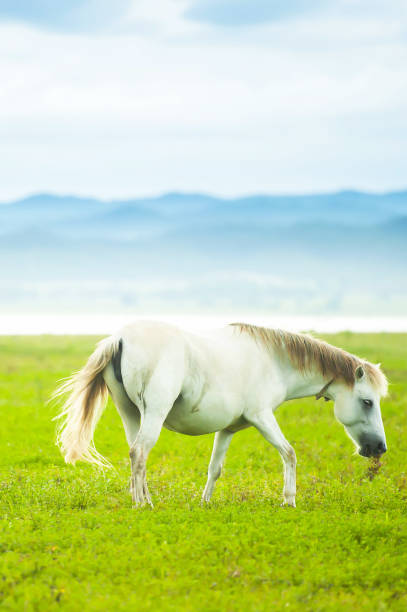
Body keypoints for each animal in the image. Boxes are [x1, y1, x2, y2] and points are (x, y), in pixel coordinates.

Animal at [54, 320, 388, 506]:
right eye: (367, 402)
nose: (379, 448)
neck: (273, 360)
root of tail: (120, 338)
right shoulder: (262, 418)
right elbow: (290, 454)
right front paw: (289, 500)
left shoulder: (228, 430)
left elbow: (215, 468)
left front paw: (205, 503)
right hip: (154, 414)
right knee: (139, 452)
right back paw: (143, 504)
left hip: (131, 414)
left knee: (137, 453)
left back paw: (142, 498)